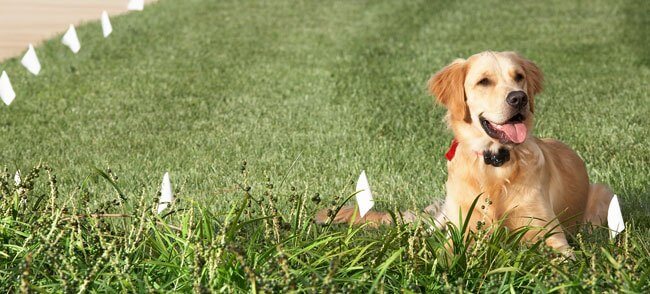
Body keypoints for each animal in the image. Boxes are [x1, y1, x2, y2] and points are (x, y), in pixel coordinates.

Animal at [316, 51, 612, 255]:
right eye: (484, 81)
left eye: (519, 77)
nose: (519, 98)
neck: (494, 163)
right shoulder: (462, 229)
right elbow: (444, 254)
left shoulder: (550, 233)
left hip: (603, 195)